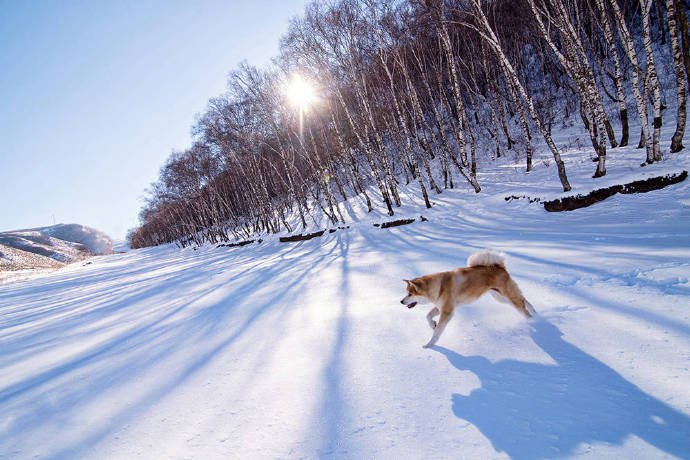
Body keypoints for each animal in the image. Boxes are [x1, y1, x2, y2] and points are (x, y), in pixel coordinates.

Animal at [398, 252, 532, 348]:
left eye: (410, 294)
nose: (401, 301)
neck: (439, 286)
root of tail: (500, 267)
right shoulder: (441, 307)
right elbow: (428, 316)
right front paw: (433, 325)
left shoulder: (447, 312)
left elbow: (437, 333)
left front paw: (429, 344)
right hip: (499, 297)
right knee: (523, 299)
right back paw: (534, 313)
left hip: (506, 296)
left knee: (521, 305)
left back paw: (532, 320)